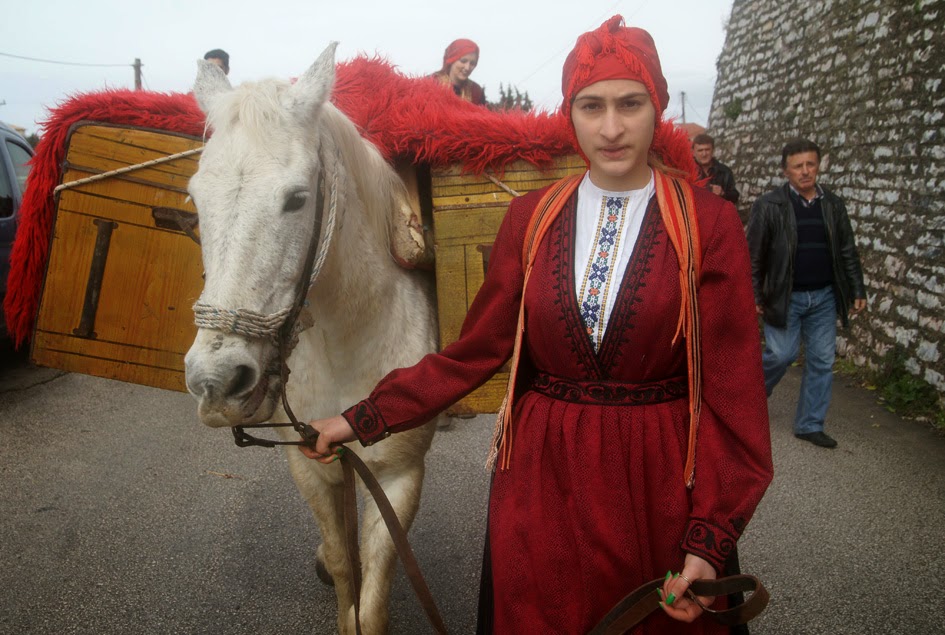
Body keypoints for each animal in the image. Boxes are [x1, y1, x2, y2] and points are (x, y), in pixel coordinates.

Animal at [185, 42, 442, 632]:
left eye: (297, 199)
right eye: (195, 200)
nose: (216, 382)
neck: (346, 340)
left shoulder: (400, 476)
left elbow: (372, 598)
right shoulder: (310, 465)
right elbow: (347, 567)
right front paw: (334, 571)